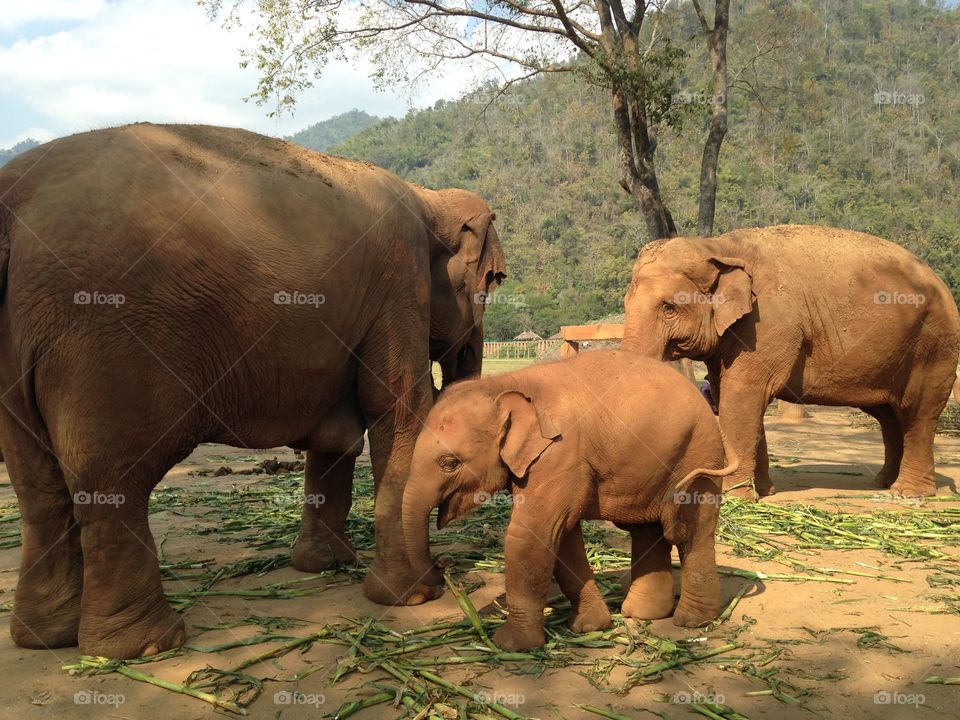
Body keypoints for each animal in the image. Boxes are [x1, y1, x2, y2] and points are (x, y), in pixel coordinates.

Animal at [0, 123, 505, 658]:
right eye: (493, 280)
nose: (445, 565)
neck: (428, 198)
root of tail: (11, 202)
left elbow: (339, 438)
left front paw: (324, 565)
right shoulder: (399, 282)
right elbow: (399, 409)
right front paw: (415, 595)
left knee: (39, 489)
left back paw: (45, 637)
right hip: (104, 345)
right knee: (111, 483)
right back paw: (146, 646)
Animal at [402, 350, 738, 651]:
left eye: (450, 463)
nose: (437, 579)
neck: (503, 384)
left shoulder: (560, 453)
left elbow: (532, 534)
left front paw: (510, 645)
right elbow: (562, 538)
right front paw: (590, 626)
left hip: (698, 454)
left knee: (690, 532)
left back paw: (691, 622)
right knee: (647, 531)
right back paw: (643, 614)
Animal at [622, 225, 960, 499]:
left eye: (668, 307)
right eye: (625, 304)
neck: (717, 246)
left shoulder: (769, 322)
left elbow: (743, 393)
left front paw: (734, 497)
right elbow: (730, 392)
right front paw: (764, 491)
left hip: (934, 346)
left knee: (918, 413)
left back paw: (907, 493)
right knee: (890, 417)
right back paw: (883, 483)